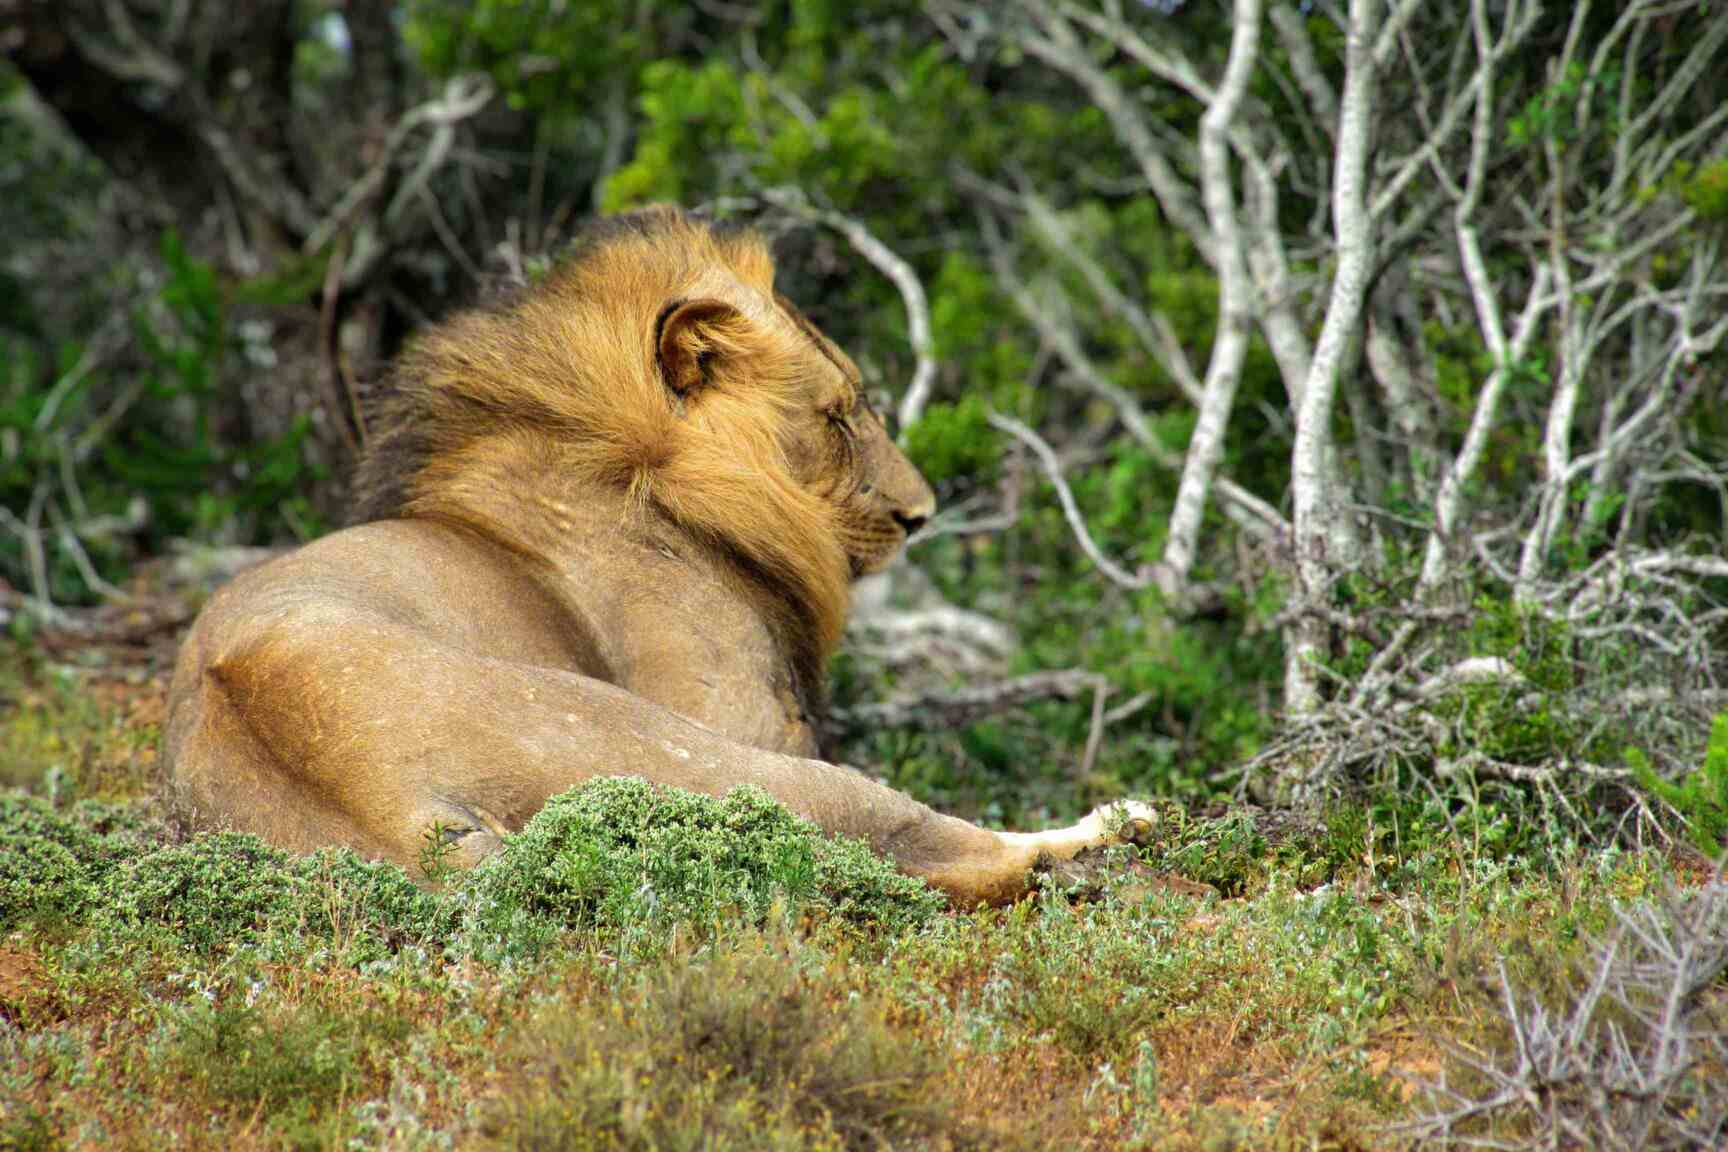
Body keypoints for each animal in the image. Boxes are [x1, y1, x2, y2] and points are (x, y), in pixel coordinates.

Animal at [164, 206, 1153, 907]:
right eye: (840, 416)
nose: (922, 515)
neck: (662, 483)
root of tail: (380, 796)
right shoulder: (746, 715)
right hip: (678, 750)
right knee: (932, 849)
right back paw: (1116, 828)